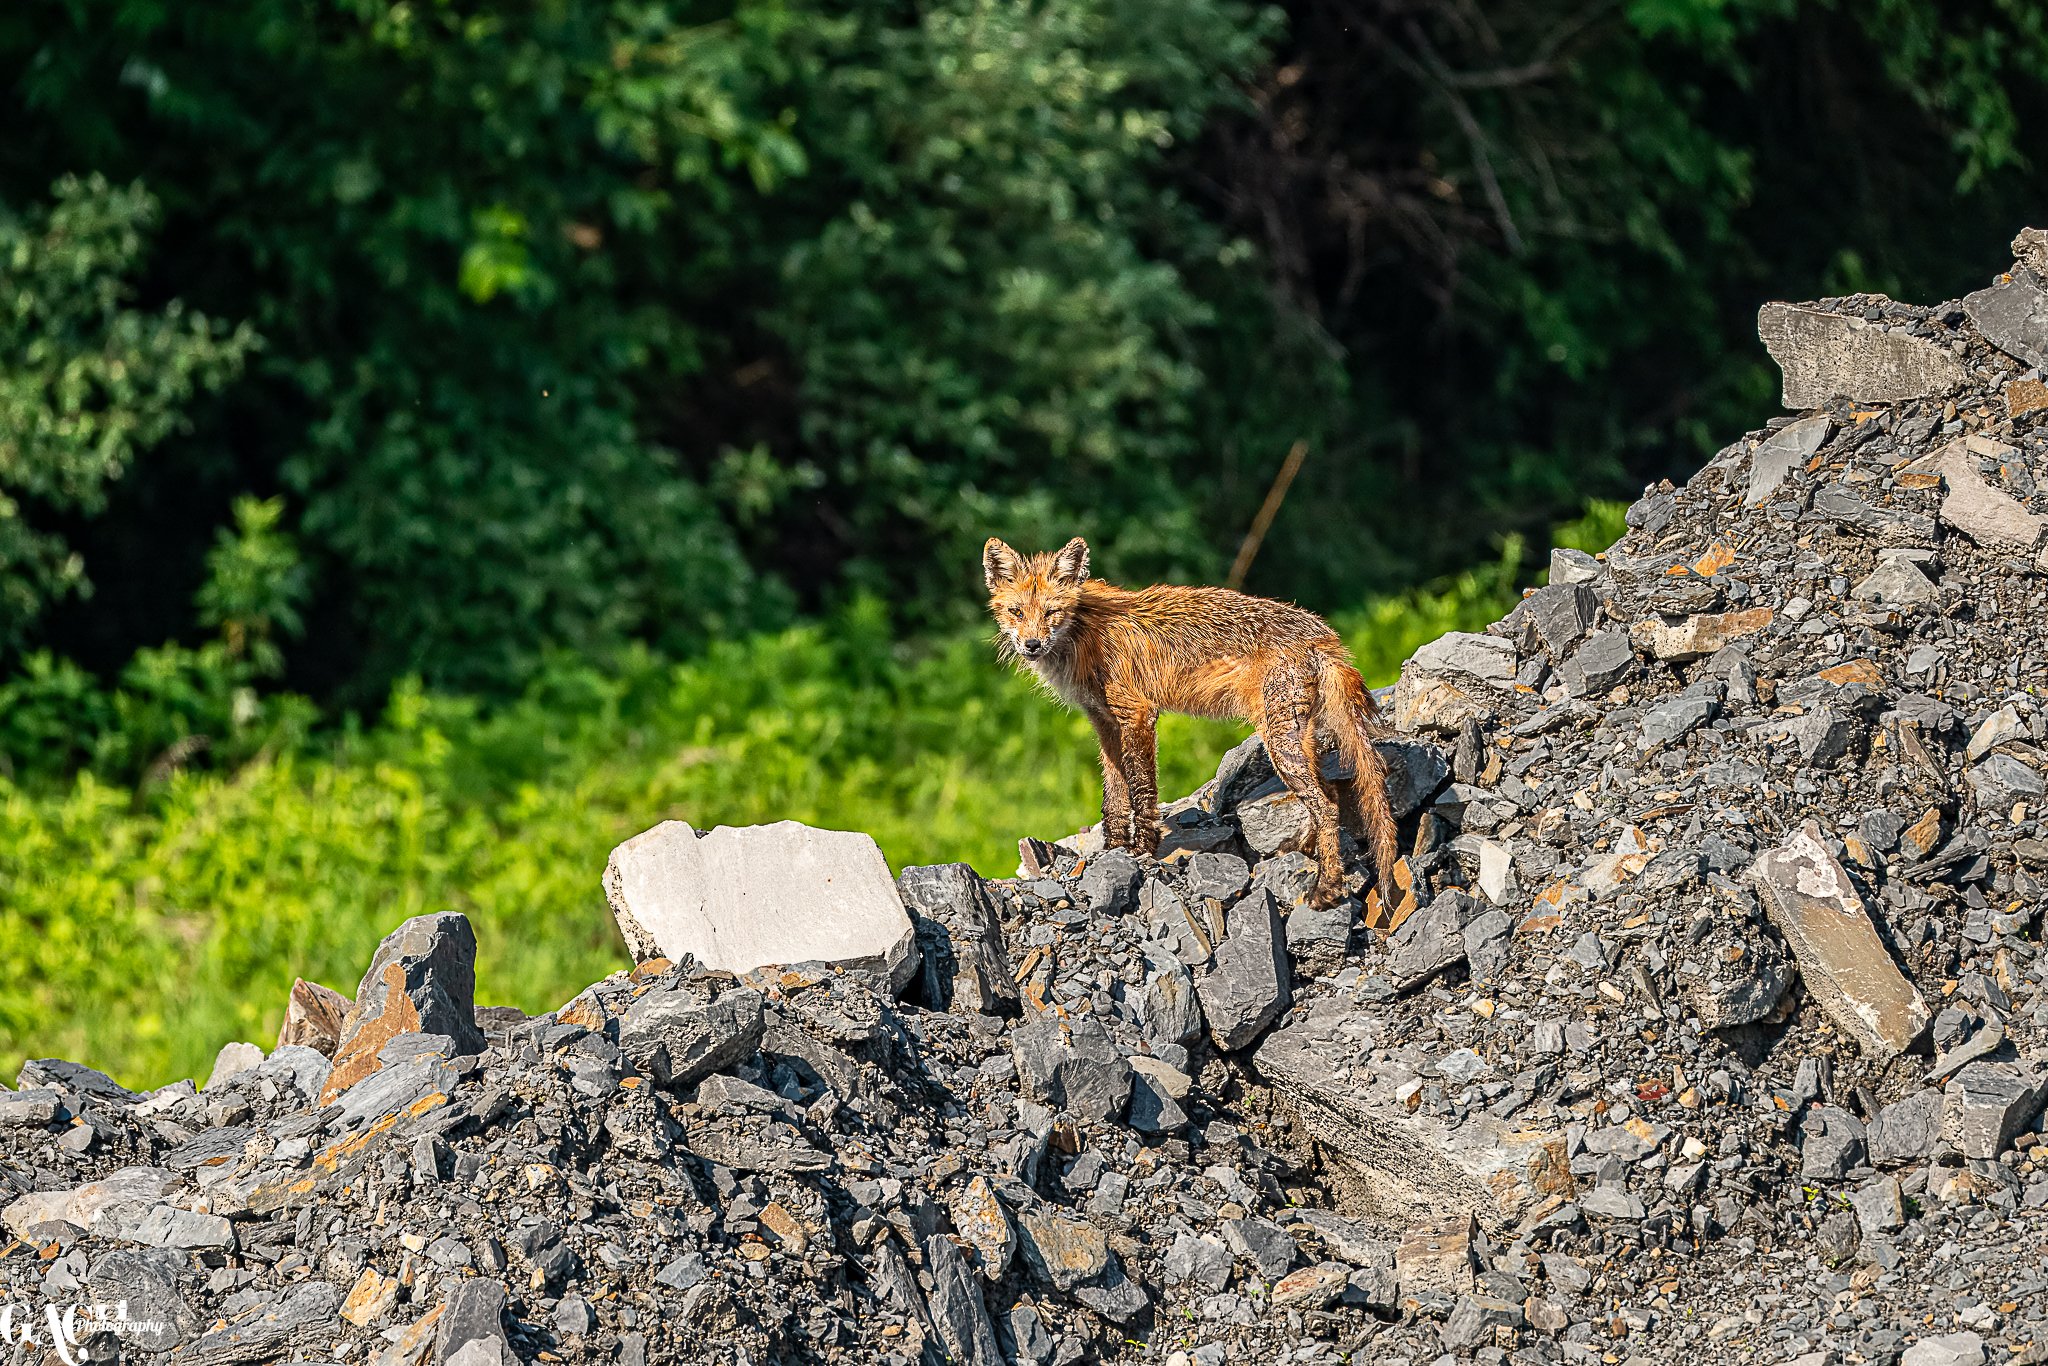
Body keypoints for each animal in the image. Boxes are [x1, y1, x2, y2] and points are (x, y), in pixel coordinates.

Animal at [983, 535, 1398, 911]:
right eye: (1017, 612)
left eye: (1051, 612)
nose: (1032, 645)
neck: (1084, 632)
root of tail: (1324, 635)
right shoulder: (1103, 721)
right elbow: (1114, 797)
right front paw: (1113, 849)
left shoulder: (1138, 713)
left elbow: (1142, 791)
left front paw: (1142, 848)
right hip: (1299, 740)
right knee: (1328, 795)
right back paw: (1311, 853)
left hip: (1281, 744)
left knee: (1327, 805)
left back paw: (1327, 888)